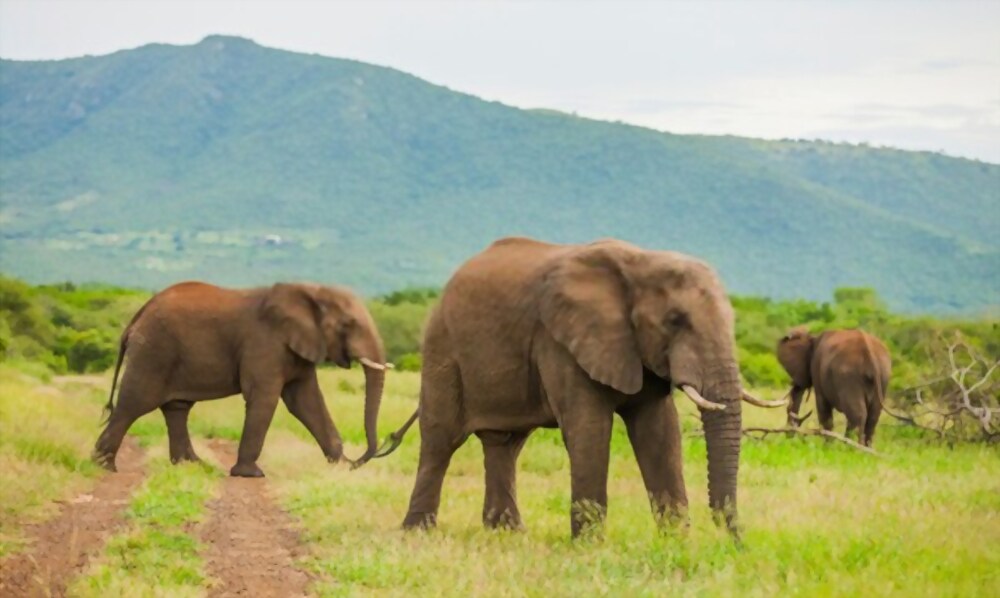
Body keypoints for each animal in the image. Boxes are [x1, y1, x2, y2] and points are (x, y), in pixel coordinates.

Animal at [93, 281, 391, 477]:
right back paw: (103, 466)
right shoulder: (264, 343)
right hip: (153, 351)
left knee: (176, 408)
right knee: (134, 404)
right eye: (348, 325)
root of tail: (139, 315)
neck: (312, 290)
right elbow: (265, 398)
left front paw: (340, 466)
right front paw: (250, 474)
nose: (356, 460)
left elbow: (305, 402)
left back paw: (193, 466)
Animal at [394, 237, 785, 538]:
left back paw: (508, 533)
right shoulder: (560, 342)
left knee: (505, 444)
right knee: (441, 440)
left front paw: (676, 542)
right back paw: (418, 532)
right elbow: (589, 428)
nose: (734, 540)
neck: (640, 262)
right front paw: (589, 546)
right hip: (443, 349)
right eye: (675, 321)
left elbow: (660, 431)